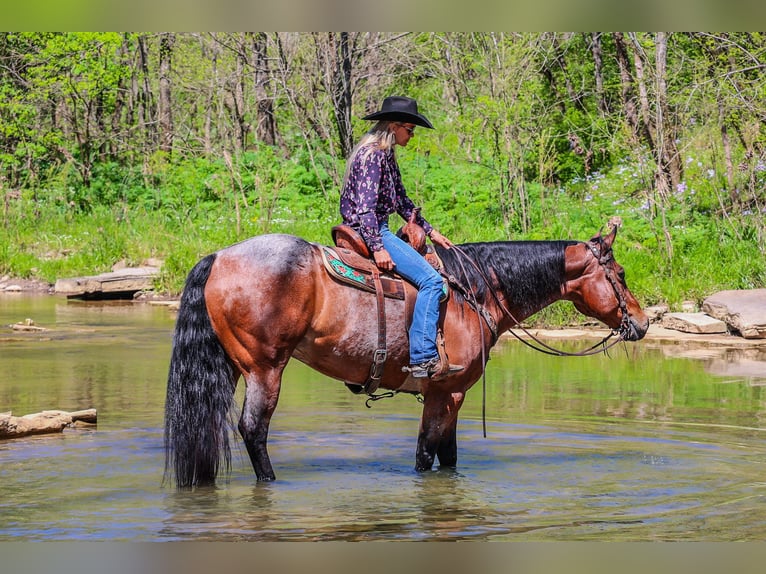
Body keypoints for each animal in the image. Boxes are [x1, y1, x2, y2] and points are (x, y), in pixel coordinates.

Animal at [165, 218, 652, 488]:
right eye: (621, 273)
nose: (642, 323)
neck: (473, 291)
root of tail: (219, 256)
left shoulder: (451, 396)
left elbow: (448, 458)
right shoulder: (445, 392)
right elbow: (425, 456)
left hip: (232, 368)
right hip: (265, 368)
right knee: (253, 430)